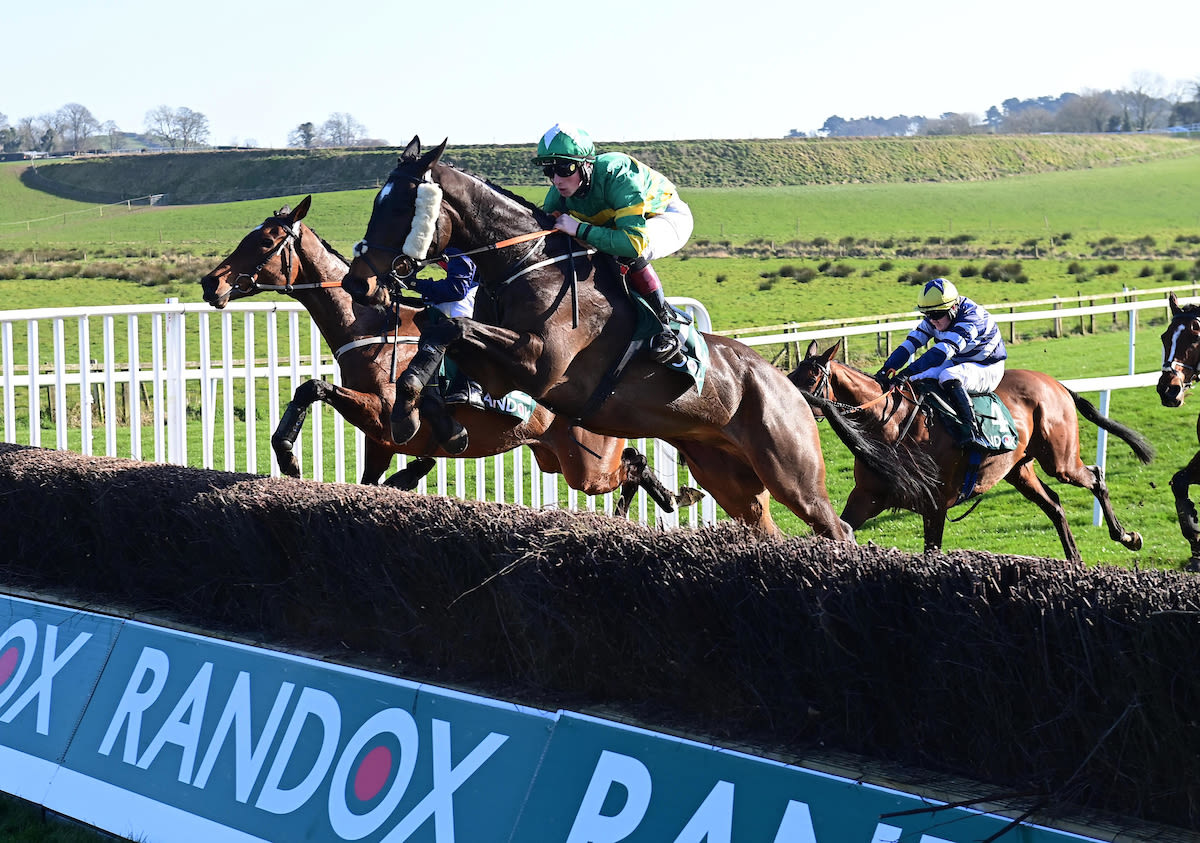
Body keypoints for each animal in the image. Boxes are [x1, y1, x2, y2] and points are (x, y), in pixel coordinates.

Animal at [198, 195, 696, 518]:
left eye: (265, 242)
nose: (211, 283)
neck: (372, 327)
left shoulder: (384, 413)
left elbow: (313, 385)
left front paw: (288, 457)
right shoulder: (381, 442)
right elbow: (370, 474)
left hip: (588, 464)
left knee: (633, 463)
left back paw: (669, 499)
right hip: (560, 459)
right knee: (633, 460)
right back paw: (666, 500)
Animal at [338, 136, 936, 537]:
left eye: (398, 205)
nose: (356, 281)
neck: (525, 263)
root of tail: (790, 387)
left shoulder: (539, 363)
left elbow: (450, 323)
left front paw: (420, 418)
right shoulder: (502, 366)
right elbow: (441, 332)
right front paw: (421, 418)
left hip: (792, 470)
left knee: (837, 529)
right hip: (728, 475)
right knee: (764, 526)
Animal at [787, 341, 1152, 564]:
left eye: (811, 377)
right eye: (790, 374)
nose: (786, 400)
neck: (890, 426)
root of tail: (1056, 383)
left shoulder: (934, 504)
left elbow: (932, 552)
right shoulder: (867, 496)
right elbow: (838, 530)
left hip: (1060, 460)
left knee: (1096, 477)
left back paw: (1126, 536)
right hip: (1019, 469)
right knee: (1054, 504)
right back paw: (1075, 561)